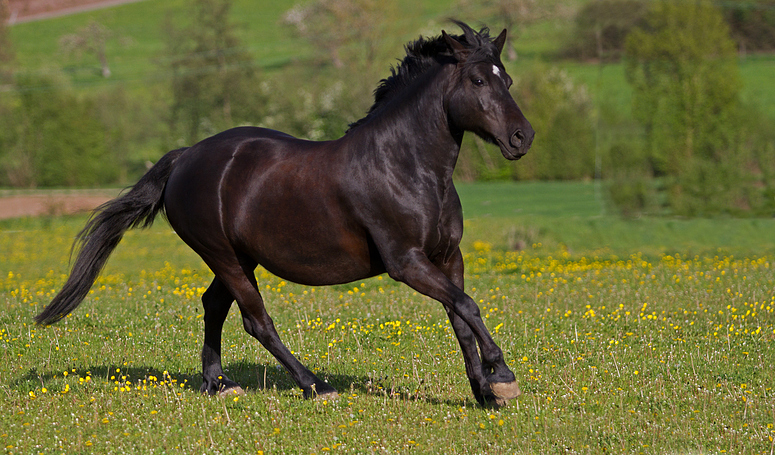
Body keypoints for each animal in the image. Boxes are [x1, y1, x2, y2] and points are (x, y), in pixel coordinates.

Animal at [36, 21, 532, 408]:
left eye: (507, 79)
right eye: (477, 82)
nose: (521, 137)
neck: (407, 166)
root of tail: (184, 157)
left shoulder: (449, 257)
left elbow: (461, 316)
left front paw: (485, 394)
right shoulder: (406, 262)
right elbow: (466, 306)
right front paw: (503, 378)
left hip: (240, 257)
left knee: (213, 305)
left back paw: (220, 384)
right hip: (223, 255)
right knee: (256, 320)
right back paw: (315, 386)